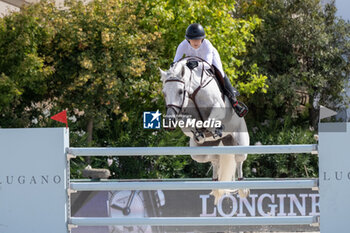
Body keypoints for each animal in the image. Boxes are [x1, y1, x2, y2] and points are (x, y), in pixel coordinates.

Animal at [160, 57, 250, 204]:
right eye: (164, 93)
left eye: (180, 91)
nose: (169, 121)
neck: (193, 93)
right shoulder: (183, 116)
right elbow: (188, 122)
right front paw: (199, 133)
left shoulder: (218, 108)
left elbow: (210, 119)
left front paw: (215, 129)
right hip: (200, 153)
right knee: (215, 159)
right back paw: (215, 185)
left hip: (240, 141)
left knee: (239, 160)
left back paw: (243, 189)